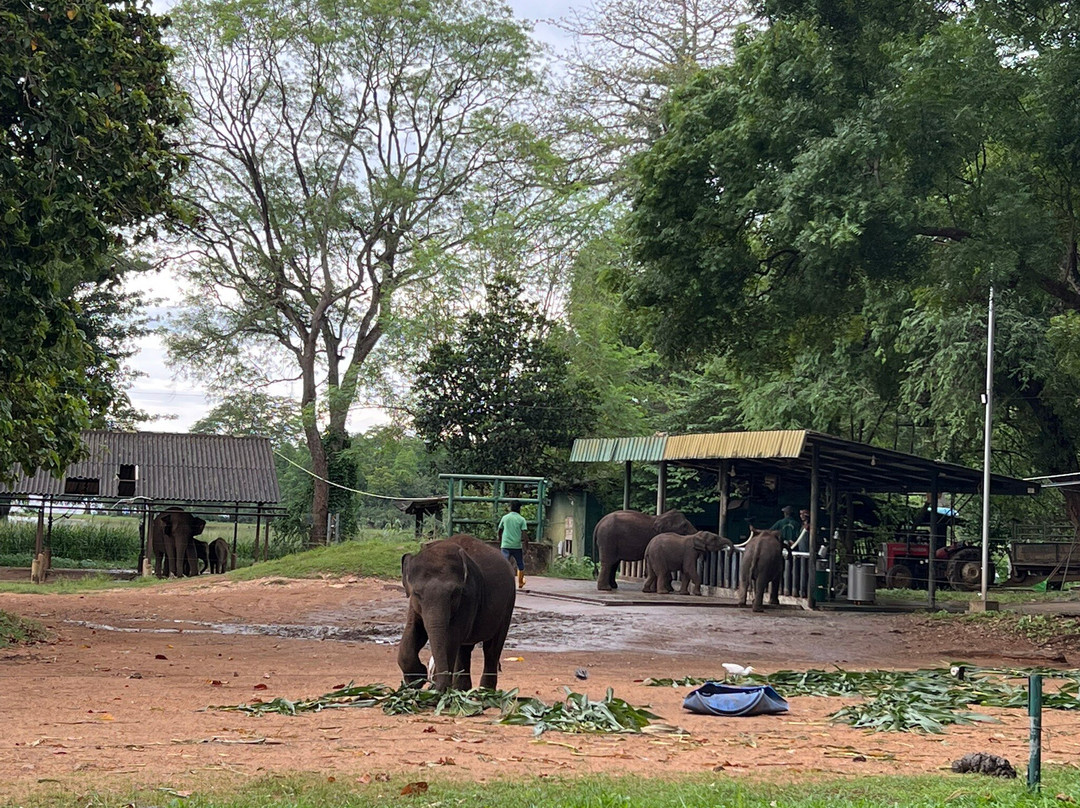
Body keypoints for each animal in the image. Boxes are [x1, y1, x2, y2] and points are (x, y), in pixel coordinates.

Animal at [398, 533, 516, 693]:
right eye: (416, 593)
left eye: (454, 594)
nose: (430, 684)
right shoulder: (414, 604)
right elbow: (414, 629)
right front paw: (415, 680)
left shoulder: (469, 597)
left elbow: (452, 636)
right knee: (464, 648)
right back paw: (461, 689)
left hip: (508, 604)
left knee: (492, 648)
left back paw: (485, 692)